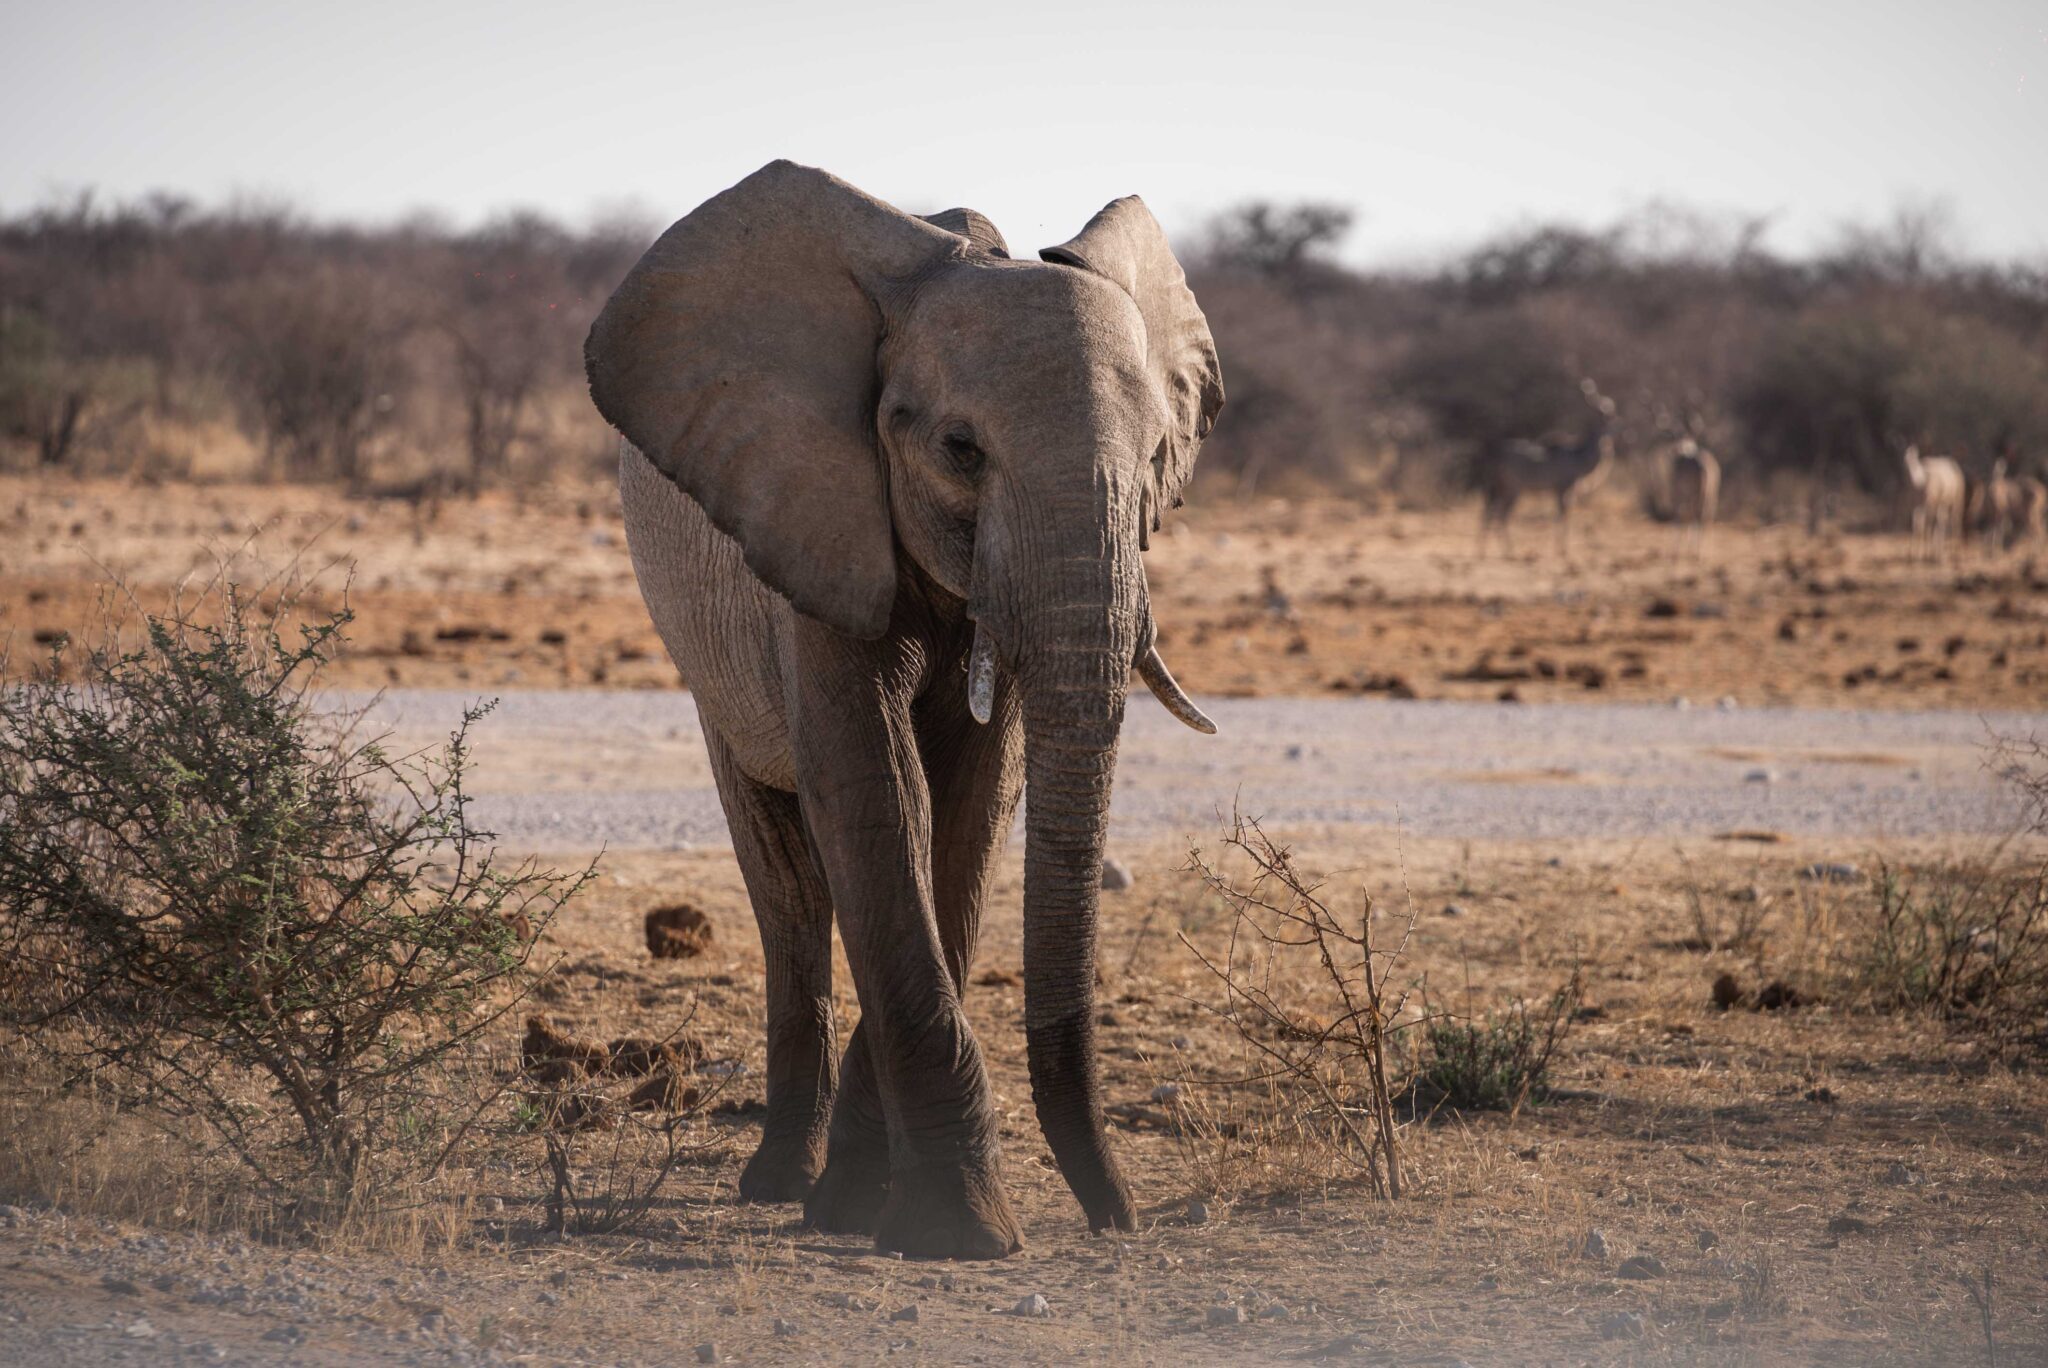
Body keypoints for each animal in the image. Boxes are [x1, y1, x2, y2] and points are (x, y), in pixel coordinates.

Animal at [593, 154, 1220, 1253]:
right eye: (961, 450)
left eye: (1156, 460)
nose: (1121, 1221)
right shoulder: (810, 515)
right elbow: (877, 791)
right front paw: (951, 1231)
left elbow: (966, 814)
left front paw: (868, 1201)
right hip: (704, 651)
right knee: (789, 886)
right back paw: (776, 1181)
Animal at [1482, 376, 1622, 557]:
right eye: (1610, 418)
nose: (1621, 429)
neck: (1577, 455)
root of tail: (1497, 456)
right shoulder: (1564, 488)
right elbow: (1562, 516)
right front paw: (1562, 549)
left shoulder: (1560, 491)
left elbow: (1561, 515)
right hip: (1513, 490)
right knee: (1501, 516)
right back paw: (1510, 550)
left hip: (1496, 490)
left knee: (1488, 514)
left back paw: (1482, 550)